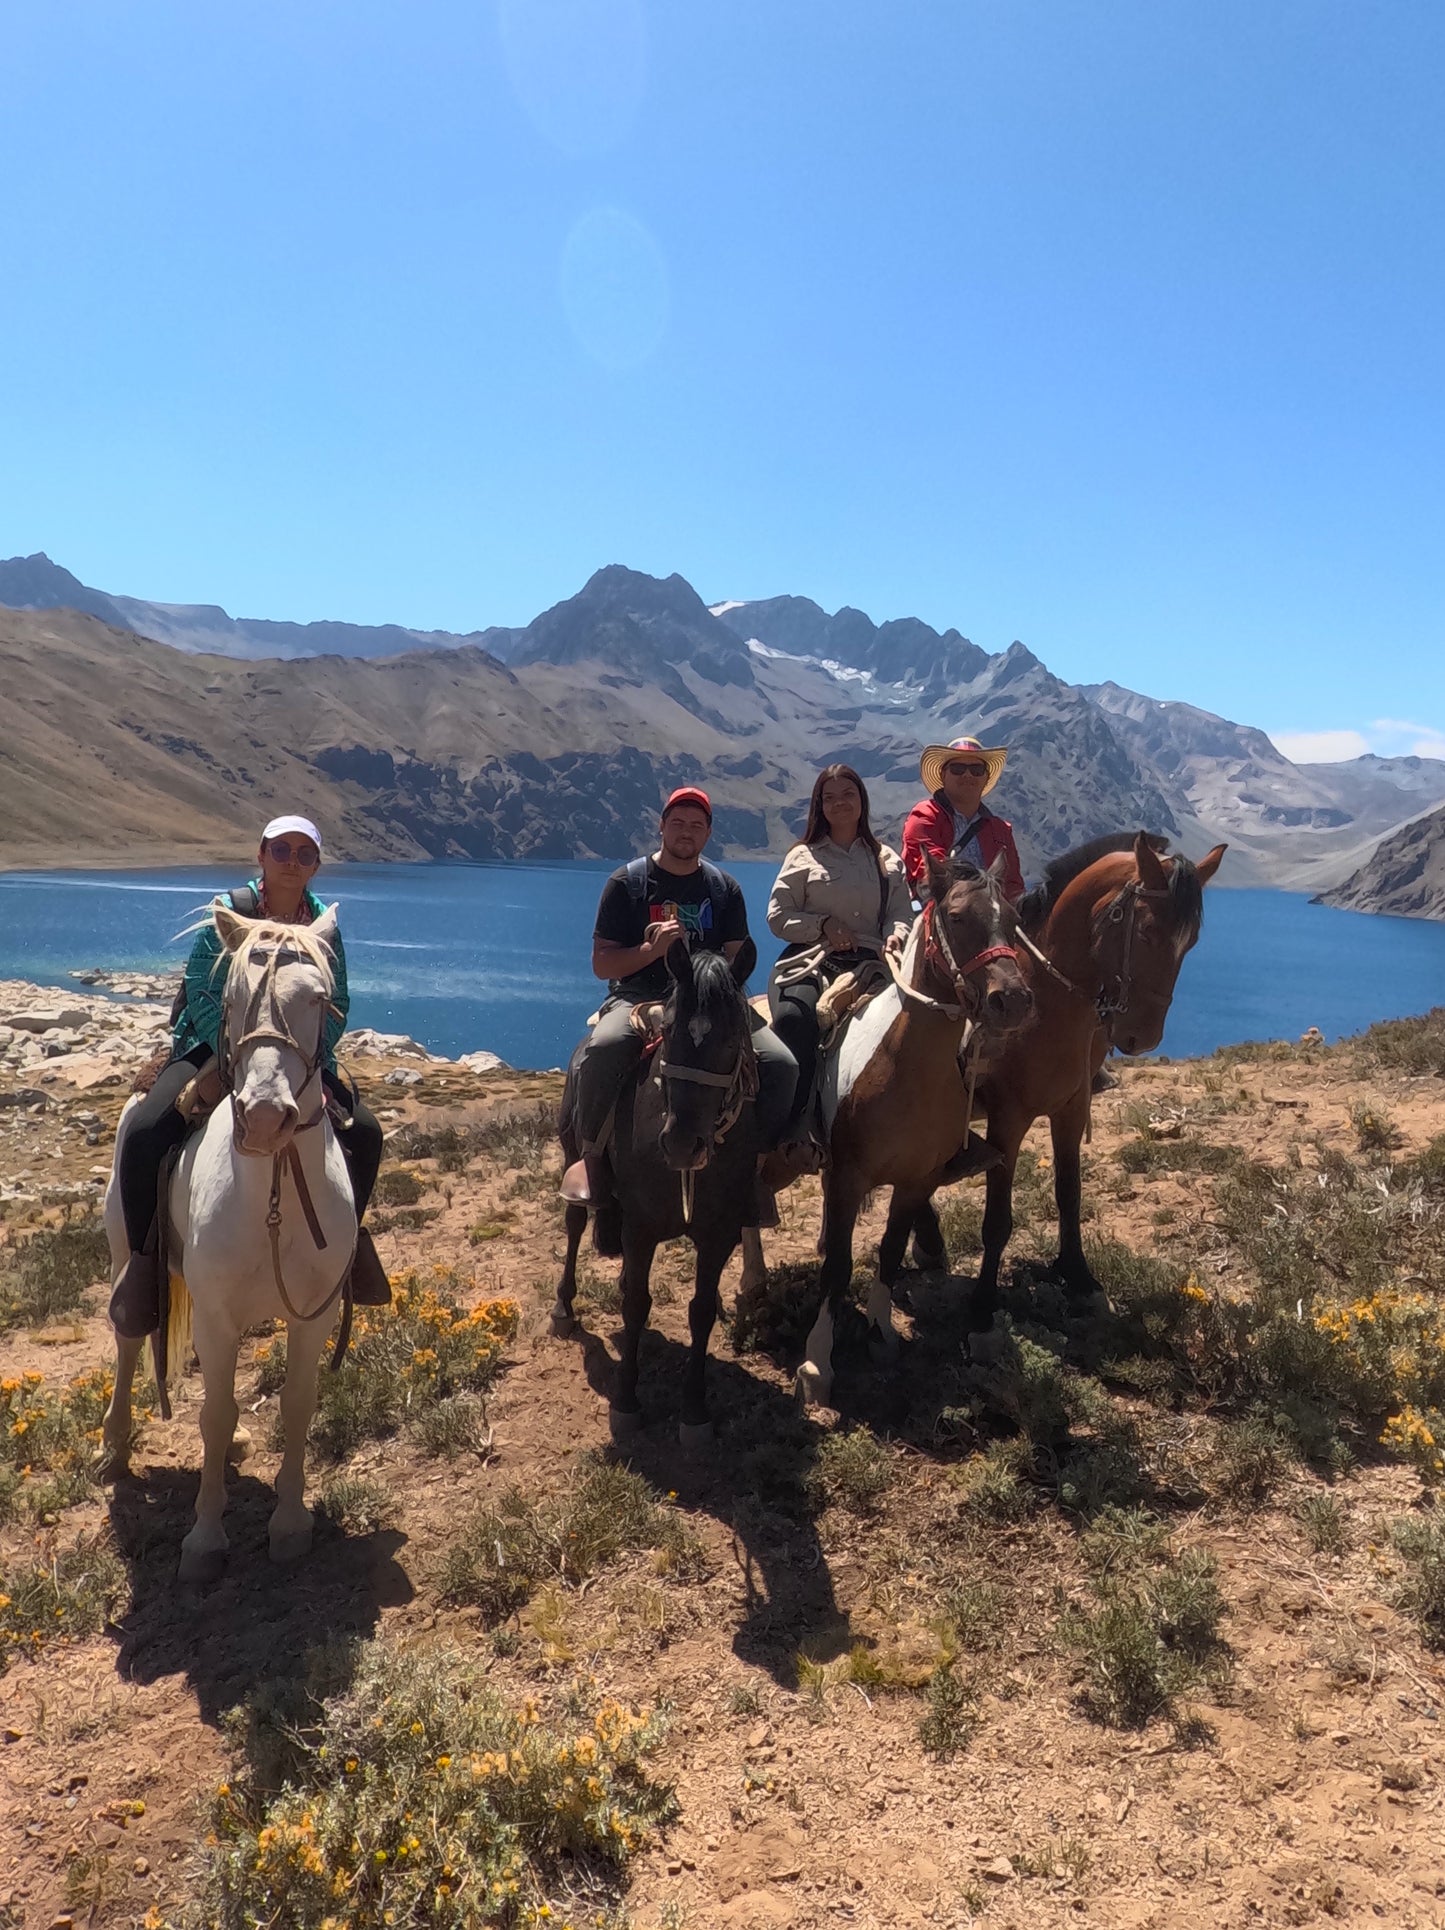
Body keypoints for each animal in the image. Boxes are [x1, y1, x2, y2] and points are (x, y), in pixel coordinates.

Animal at [97, 903, 354, 1582]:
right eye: (230, 999)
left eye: (320, 999)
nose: (264, 1119)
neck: (272, 1194)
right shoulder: (215, 1315)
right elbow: (212, 1415)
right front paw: (205, 1539)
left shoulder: (311, 1317)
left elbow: (295, 1404)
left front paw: (290, 1524)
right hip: (125, 1256)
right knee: (129, 1342)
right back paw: (114, 1448)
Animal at [968, 829, 1226, 1327]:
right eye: (1146, 931)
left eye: (1191, 942)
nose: (1142, 1038)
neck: (1043, 1005)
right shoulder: (1006, 1120)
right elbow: (997, 1219)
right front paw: (984, 1302)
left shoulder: (1072, 1108)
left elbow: (1070, 1193)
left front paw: (1077, 1273)